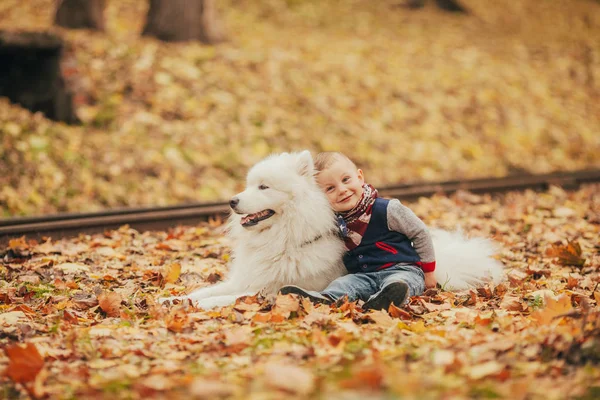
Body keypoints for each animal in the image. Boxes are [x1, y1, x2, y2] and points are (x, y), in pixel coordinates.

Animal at [158, 150, 502, 310]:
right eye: (248, 185)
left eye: (264, 187)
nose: (232, 201)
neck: (285, 239)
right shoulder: (245, 278)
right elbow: (204, 291)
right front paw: (170, 300)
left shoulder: (264, 289)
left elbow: (223, 298)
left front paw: (197, 306)